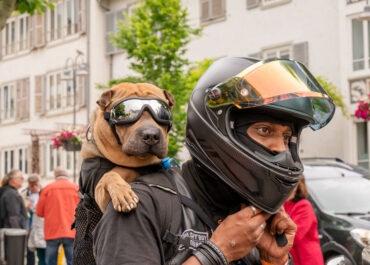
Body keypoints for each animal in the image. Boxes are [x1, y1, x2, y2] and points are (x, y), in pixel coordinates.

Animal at [81, 82, 174, 212]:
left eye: (163, 114)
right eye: (126, 115)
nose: (151, 135)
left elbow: (121, 170)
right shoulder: (101, 196)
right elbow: (109, 175)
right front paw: (122, 194)